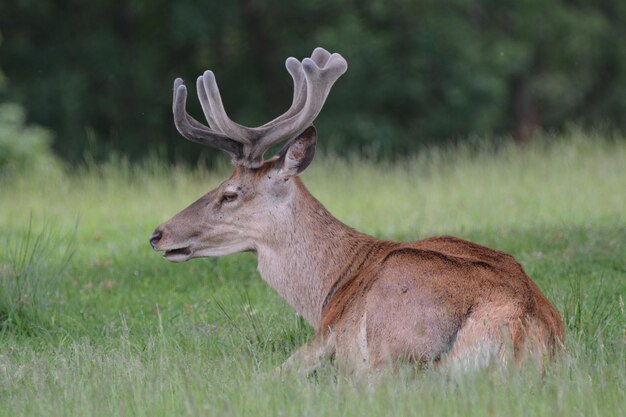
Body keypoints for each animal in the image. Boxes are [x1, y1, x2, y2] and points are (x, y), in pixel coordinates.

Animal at [149, 47, 564, 372]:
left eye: (231, 193)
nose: (157, 234)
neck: (329, 286)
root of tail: (521, 325)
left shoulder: (325, 333)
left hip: (391, 342)